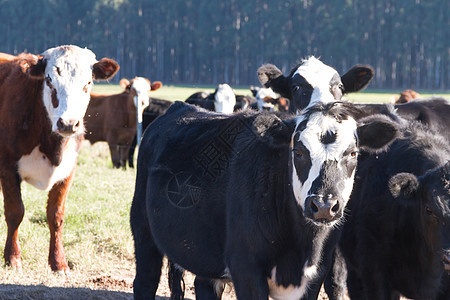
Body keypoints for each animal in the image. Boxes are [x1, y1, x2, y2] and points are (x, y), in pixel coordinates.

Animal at [0, 45, 118, 274]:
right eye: (49, 80)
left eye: (88, 83)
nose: (68, 124)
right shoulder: (7, 167)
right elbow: (15, 212)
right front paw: (12, 258)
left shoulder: (68, 170)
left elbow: (56, 216)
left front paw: (59, 262)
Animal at [130, 101, 398, 300]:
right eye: (298, 152)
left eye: (352, 153)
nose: (323, 206)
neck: (301, 246)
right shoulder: (246, 268)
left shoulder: (316, 275)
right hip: (143, 231)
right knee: (144, 281)